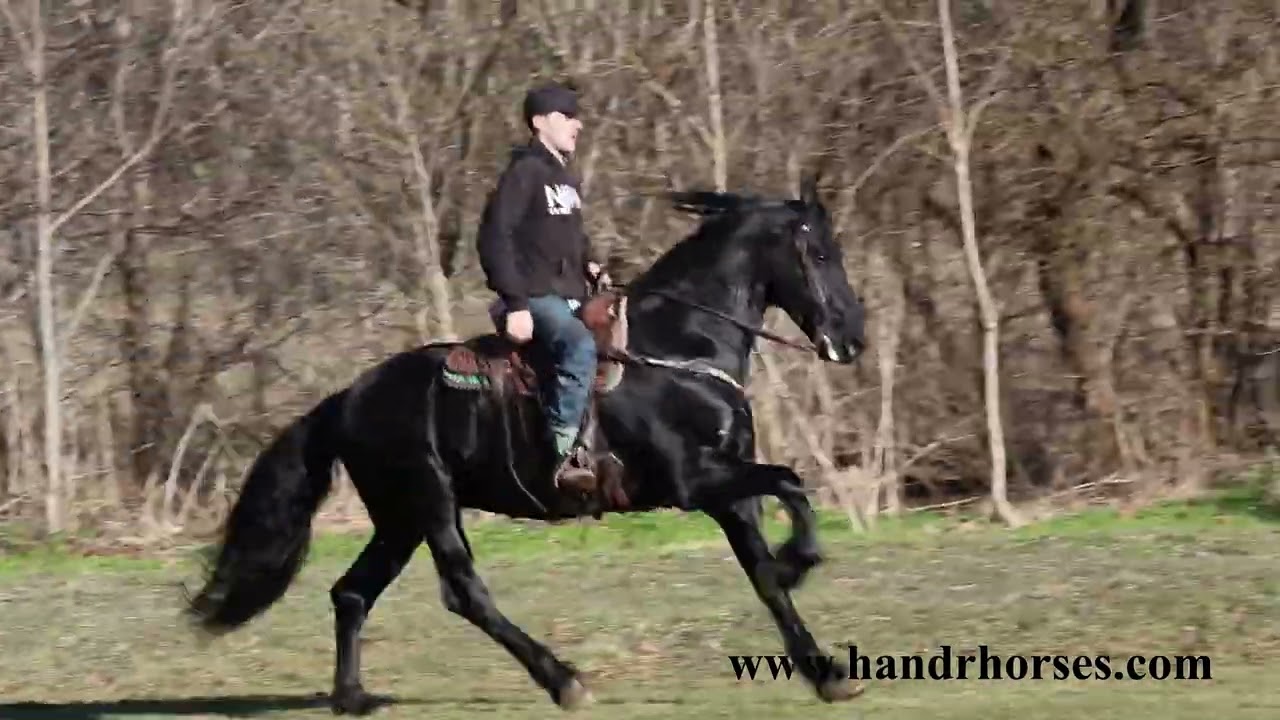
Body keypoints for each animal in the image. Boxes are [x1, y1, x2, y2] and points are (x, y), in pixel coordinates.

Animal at [183, 175, 868, 714]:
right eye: (819, 252)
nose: (852, 338)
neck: (679, 347)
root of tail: (348, 397)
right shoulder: (694, 480)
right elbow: (791, 483)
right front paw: (799, 559)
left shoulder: (729, 489)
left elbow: (765, 574)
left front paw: (826, 672)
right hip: (430, 502)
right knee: (463, 591)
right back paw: (563, 680)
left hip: (399, 518)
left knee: (351, 593)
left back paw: (352, 698)